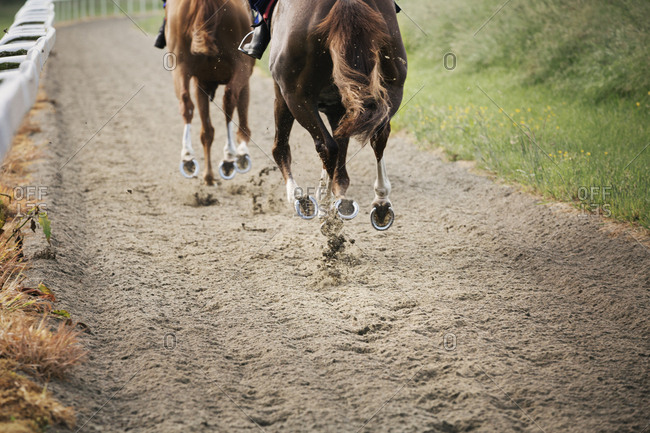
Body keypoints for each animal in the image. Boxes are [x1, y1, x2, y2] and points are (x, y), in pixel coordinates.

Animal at [166, 0, 255, 185]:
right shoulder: (245, 74)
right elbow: (242, 119)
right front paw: (242, 154)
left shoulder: (200, 83)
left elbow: (206, 131)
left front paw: (208, 175)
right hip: (241, 64)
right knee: (229, 99)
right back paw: (229, 158)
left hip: (179, 65)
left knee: (186, 104)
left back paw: (188, 158)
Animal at [269, 0, 407, 230]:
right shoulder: (342, 106)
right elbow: (341, 146)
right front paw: (337, 193)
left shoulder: (284, 91)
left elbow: (284, 146)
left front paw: (307, 195)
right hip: (392, 88)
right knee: (378, 136)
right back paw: (381, 203)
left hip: (296, 97)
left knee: (324, 146)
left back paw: (317, 206)